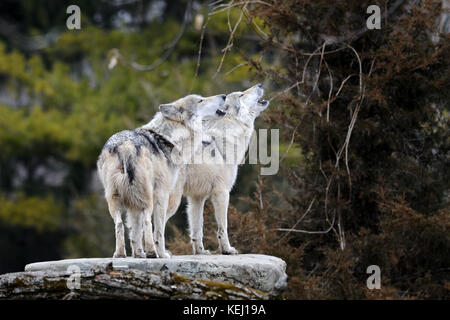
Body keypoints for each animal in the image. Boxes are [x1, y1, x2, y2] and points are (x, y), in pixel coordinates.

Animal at [97, 94, 227, 258]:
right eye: (201, 100)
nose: (224, 95)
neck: (171, 138)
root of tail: (126, 145)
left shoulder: (133, 204)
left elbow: (135, 233)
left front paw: (138, 254)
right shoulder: (162, 194)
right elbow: (159, 230)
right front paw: (162, 253)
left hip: (115, 199)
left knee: (119, 224)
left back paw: (120, 254)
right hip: (147, 199)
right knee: (147, 222)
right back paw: (152, 253)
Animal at [166, 84, 268, 255]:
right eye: (241, 94)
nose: (260, 84)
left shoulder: (196, 198)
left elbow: (197, 229)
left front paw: (200, 252)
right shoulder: (222, 193)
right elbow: (223, 227)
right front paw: (227, 249)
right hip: (172, 200)